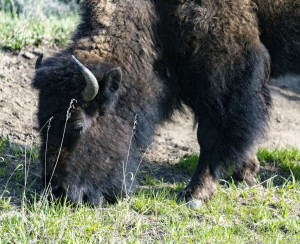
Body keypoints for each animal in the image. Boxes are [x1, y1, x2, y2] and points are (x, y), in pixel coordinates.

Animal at [33, 0, 300, 208]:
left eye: (77, 125)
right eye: (41, 123)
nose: (56, 192)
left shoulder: (225, 66)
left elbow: (210, 133)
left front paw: (195, 194)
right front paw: (245, 173)